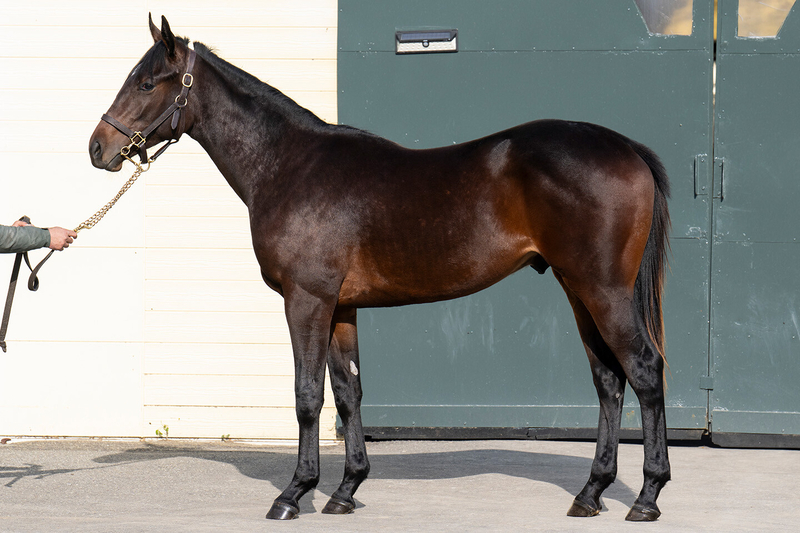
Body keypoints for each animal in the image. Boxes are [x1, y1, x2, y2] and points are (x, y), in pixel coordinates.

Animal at [89, 15, 671, 522]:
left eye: (146, 83)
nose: (98, 147)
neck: (288, 164)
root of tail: (626, 148)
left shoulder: (306, 301)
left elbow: (307, 395)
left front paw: (294, 493)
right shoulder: (341, 307)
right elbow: (348, 393)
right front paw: (345, 490)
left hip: (603, 290)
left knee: (644, 370)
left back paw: (647, 496)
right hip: (578, 290)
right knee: (608, 380)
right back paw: (591, 492)